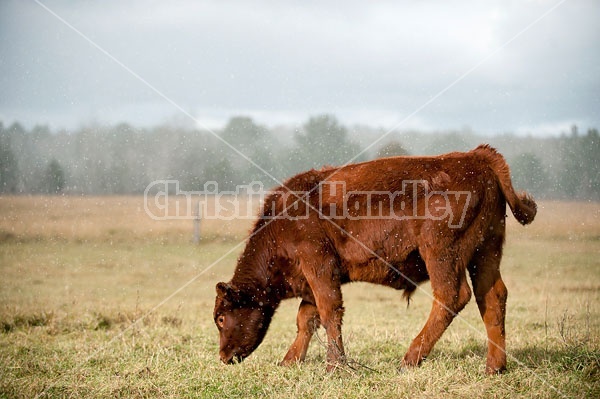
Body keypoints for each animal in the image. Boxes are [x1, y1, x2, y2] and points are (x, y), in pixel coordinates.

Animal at [213, 145, 536, 376]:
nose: (223, 356)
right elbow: (307, 319)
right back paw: (494, 367)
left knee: (452, 296)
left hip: (442, 254)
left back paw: (409, 360)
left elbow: (329, 312)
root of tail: (477, 156)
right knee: (492, 298)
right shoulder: (311, 281)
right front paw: (290, 361)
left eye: (220, 317)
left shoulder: (318, 265)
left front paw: (334, 367)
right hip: (486, 253)